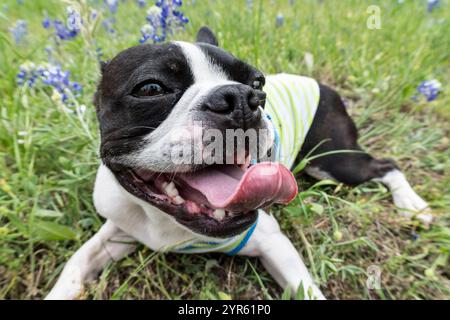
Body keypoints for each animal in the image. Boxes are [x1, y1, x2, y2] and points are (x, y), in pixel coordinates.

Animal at [46, 27, 432, 300]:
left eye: (257, 82)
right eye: (150, 88)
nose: (243, 99)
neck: (170, 225)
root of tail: (321, 84)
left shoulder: (272, 240)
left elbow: (306, 289)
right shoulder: (120, 229)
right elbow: (78, 260)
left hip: (334, 161)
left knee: (386, 166)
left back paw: (412, 205)